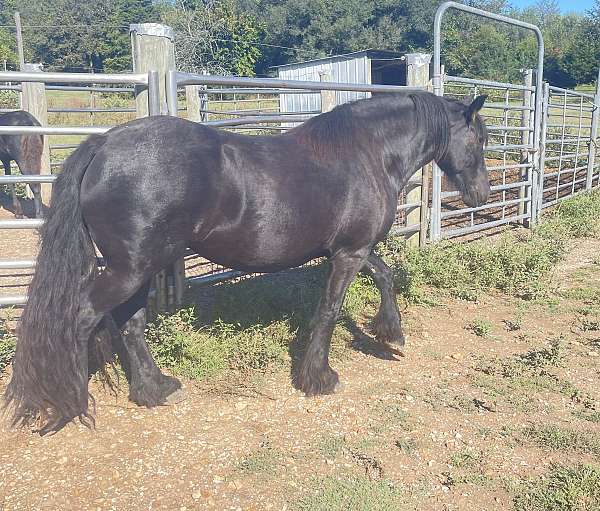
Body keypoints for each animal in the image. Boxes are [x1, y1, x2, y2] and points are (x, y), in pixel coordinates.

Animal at [4, 90, 488, 434]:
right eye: (479, 140)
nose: (481, 194)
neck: (366, 154)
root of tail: (104, 144)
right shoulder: (349, 253)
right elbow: (329, 311)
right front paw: (318, 378)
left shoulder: (353, 248)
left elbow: (384, 276)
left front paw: (391, 334)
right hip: (130, 269)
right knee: (83, 317)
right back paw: (71, 401)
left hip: (139, 267)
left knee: (129, 323)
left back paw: (155, 389)